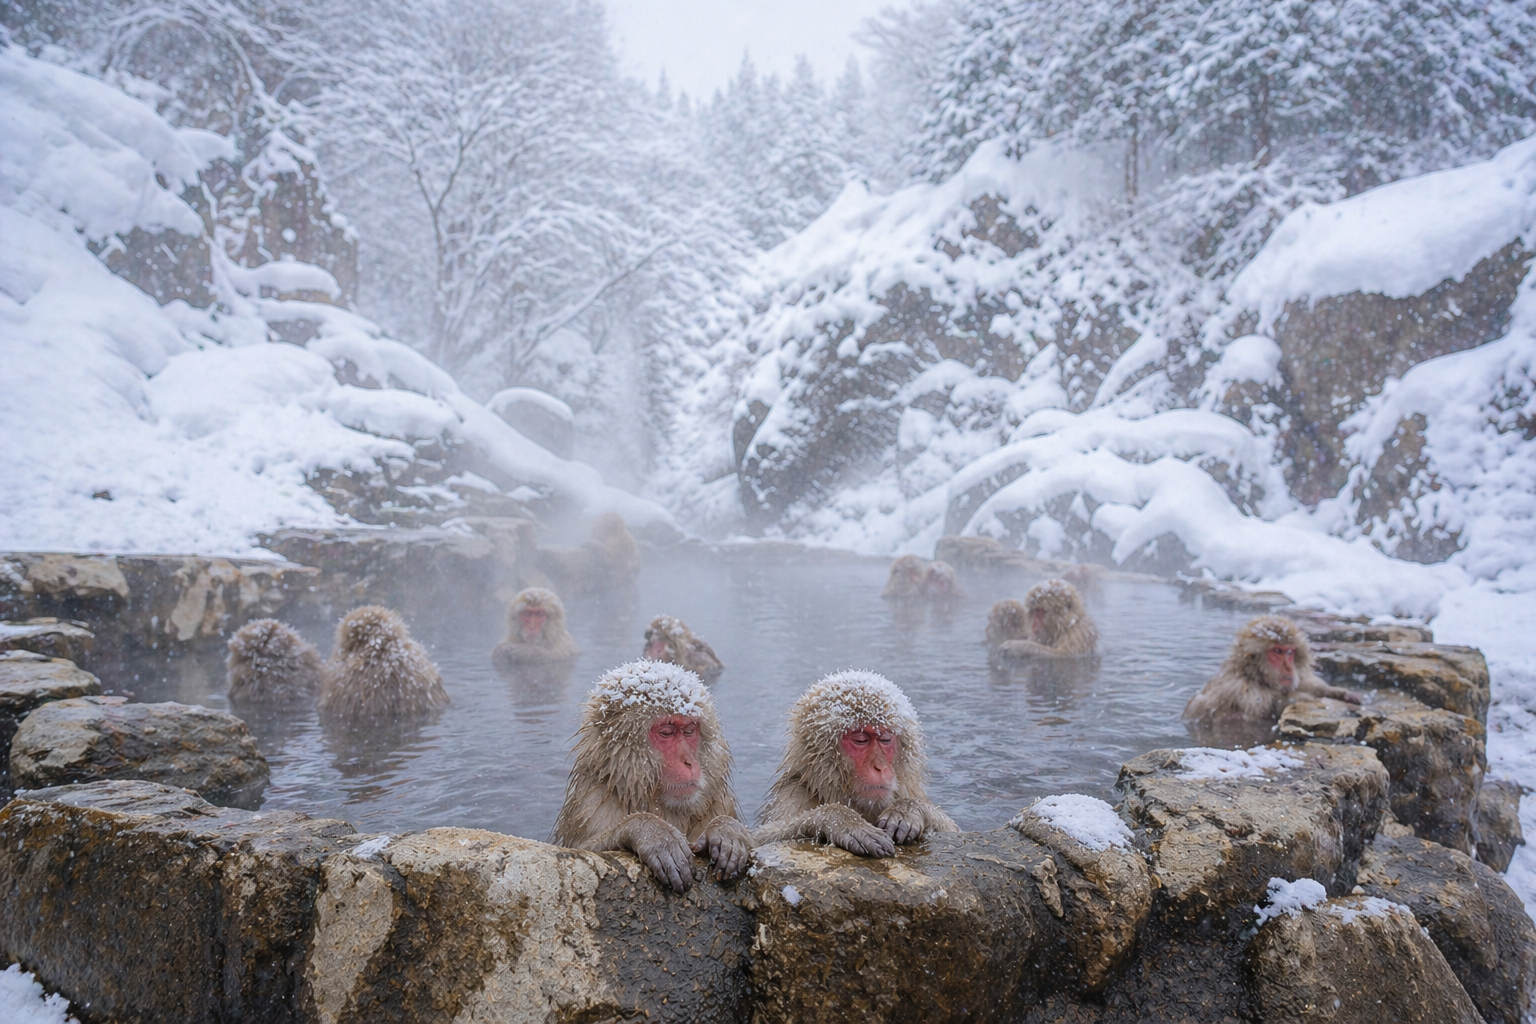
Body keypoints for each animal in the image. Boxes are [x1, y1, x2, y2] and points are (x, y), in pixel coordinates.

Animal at [552, 659, 750, 892]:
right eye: (667, 732)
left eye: (689, 730)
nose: (689, 762)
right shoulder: (592, 804)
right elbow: (581, 851)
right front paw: (652, 832)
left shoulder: (718, 801)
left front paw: (727, 830)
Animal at [755, 670, 959, 857]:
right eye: (861, 740)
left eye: (885, 739)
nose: (880, 767)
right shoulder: (792, 796)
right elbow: (760, 839)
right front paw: (841, 820)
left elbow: (954, 830)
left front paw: (908, 810)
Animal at [1183, 614, 1363, 728]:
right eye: (1277, 651)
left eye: (1289, 652)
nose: (1289, 667)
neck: (1256, 677)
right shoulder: (1244, 692)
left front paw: (1344, 694)